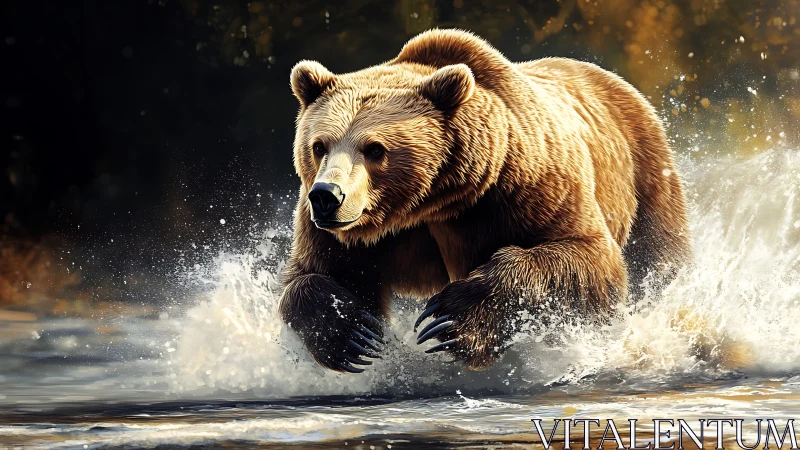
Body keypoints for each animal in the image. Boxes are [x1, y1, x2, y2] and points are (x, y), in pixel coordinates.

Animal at [279, 29, 690, 373]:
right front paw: (354, 334)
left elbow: (590, 258)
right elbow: (315, 274)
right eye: (319, 145)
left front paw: (449, 321)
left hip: (643, 169)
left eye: (375, 149)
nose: (327, 196)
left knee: (657, 254)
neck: (430, 202)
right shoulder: (357, 237)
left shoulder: (525, 187)